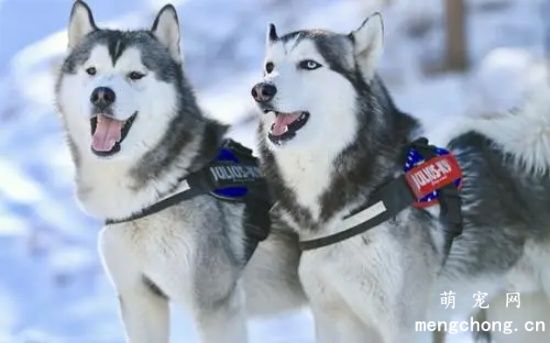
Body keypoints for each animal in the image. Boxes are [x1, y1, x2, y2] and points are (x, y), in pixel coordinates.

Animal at [55, 1, 306, 342]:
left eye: (135, 75)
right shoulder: (138, 298)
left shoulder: (215, 305)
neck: (155, 193)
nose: (102, 94)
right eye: (91, 71)